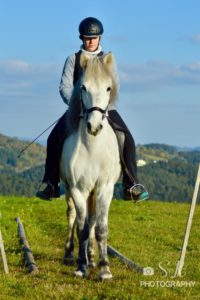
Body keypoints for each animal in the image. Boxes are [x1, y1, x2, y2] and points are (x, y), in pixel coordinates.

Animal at [59, 52, 120, 280]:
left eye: (108, 88)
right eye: (83, 87)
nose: (94, 126)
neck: (93, 147)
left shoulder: (104, 188)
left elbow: (100, 228)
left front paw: (104, 268)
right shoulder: (78, 189)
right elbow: (81, 229)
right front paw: (80, 266)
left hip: (94, 193)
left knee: (93, 220)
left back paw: (93, 258)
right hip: (70, 190)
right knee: (72, 216)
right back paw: (70, 254)